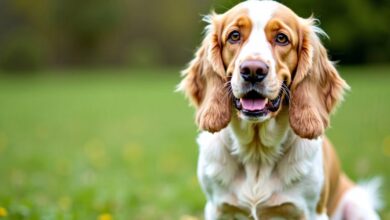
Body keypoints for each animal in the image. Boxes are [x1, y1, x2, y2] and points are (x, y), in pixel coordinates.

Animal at [179, 0, 380, 219]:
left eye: (281, 38)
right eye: (234, 35)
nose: (253, 70)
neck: (257, 153)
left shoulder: (312, 211)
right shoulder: (216, 208)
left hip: (356, 206)